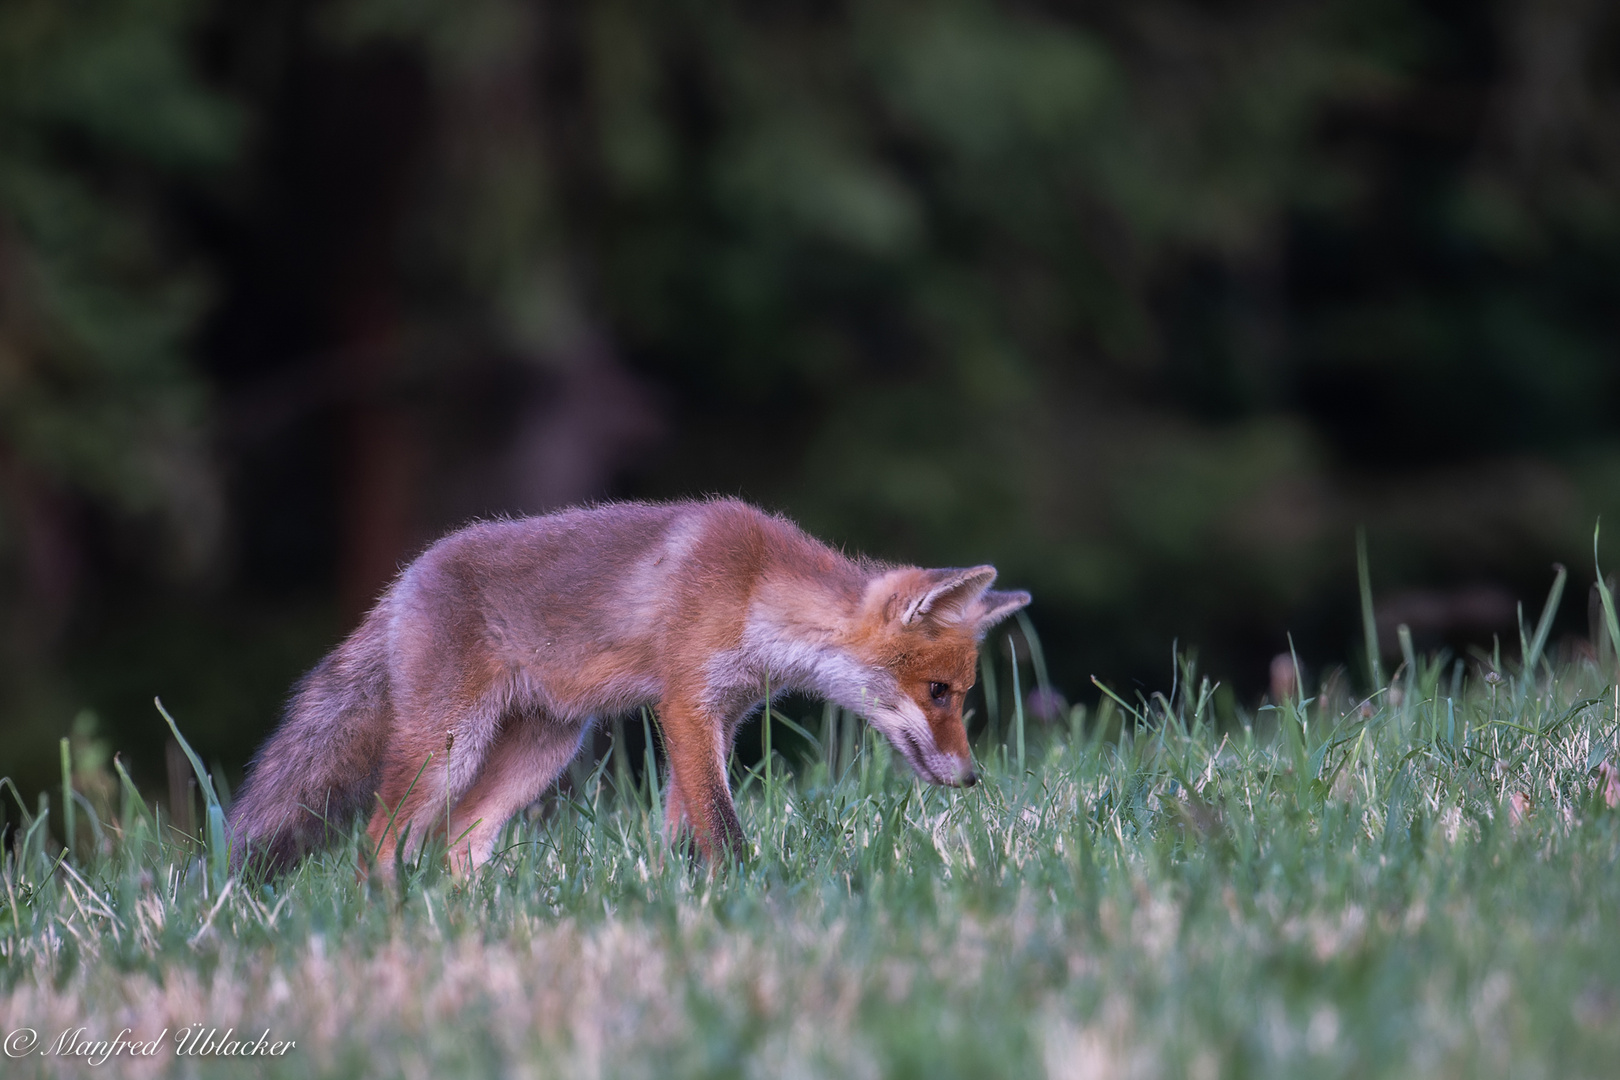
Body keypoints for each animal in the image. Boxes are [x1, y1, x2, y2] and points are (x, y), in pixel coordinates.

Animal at [225, 498, 1023, 880]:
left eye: (959, 694)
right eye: (939, 692)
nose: (972, 777)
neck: (757, 590)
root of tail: (403, 580)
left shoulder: (722, 716)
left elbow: (681, 829)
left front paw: (676, 900)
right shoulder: (686, 703)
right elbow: (722, 828)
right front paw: (748, 894)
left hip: (539, 751)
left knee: (460, 843)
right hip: (445, 747)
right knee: (378, 845)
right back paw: (395, 924)